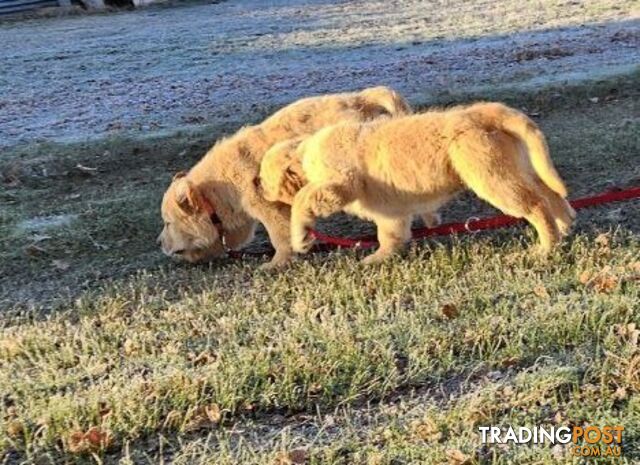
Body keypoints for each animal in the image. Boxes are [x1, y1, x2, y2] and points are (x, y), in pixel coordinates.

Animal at [158, 86, 412, 268]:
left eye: (168, 223)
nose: (158, 243)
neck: (218, 189)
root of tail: (360, 99)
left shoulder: (268, 206)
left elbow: (279, 236)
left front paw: (277, 263)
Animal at [264, 101, 576, 262]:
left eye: (263, 181)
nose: (264, 196)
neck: (305, 154)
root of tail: (482, 111)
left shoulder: (340, 183)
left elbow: (302, 200)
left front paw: (300, 238)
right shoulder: (390, 211)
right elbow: (390, 235)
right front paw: (379, 258)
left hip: (493, 178)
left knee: (536, 205)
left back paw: (546, 247)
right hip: (519, 168)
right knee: (550, 194)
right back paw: (564, 226)